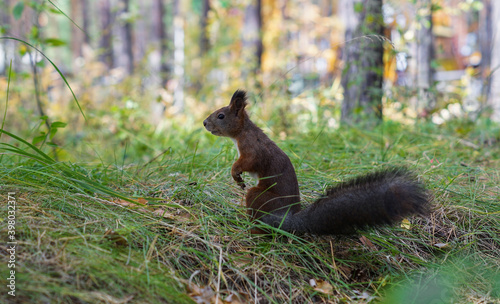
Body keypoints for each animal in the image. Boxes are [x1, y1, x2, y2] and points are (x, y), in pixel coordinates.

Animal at [203, 90, 430, 235]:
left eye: (221, 116)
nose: (204, 123)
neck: (242, 132)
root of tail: (287, 219)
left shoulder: (252, 150)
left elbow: (247, 162)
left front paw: (235, 173)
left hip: (260, 197)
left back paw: (252, 229)